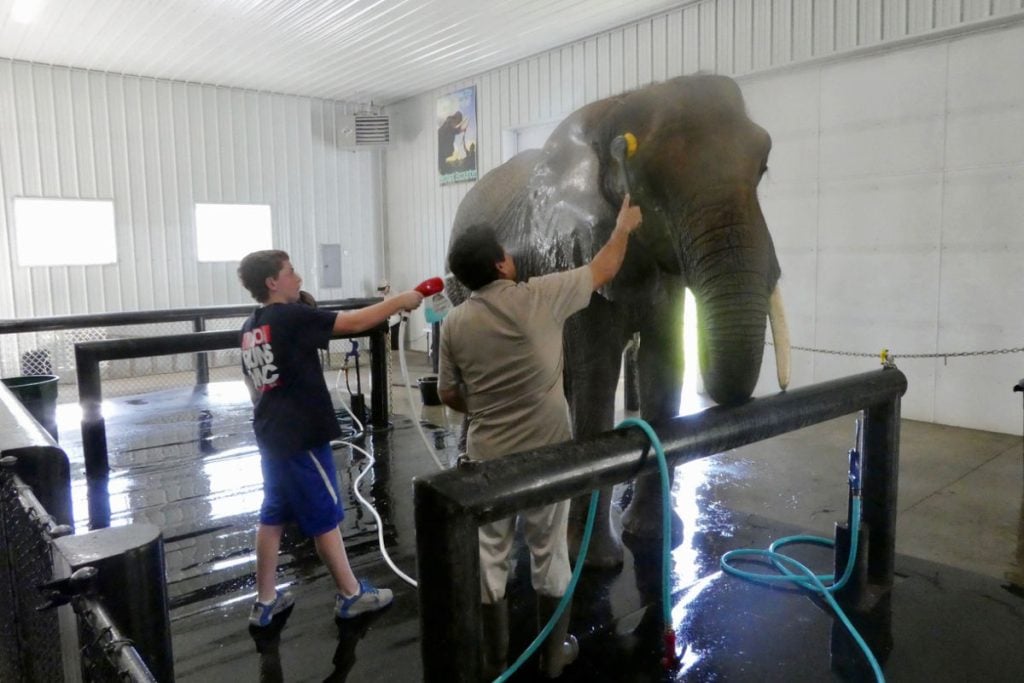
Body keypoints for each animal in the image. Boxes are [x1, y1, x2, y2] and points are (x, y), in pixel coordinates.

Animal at [444, 72, 786, 569]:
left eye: (763, 165)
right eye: (649, 185)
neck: (620, 104)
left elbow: (664, 367)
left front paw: (655, 536)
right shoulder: (571, 251)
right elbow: (597, 379)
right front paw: (592, 560)